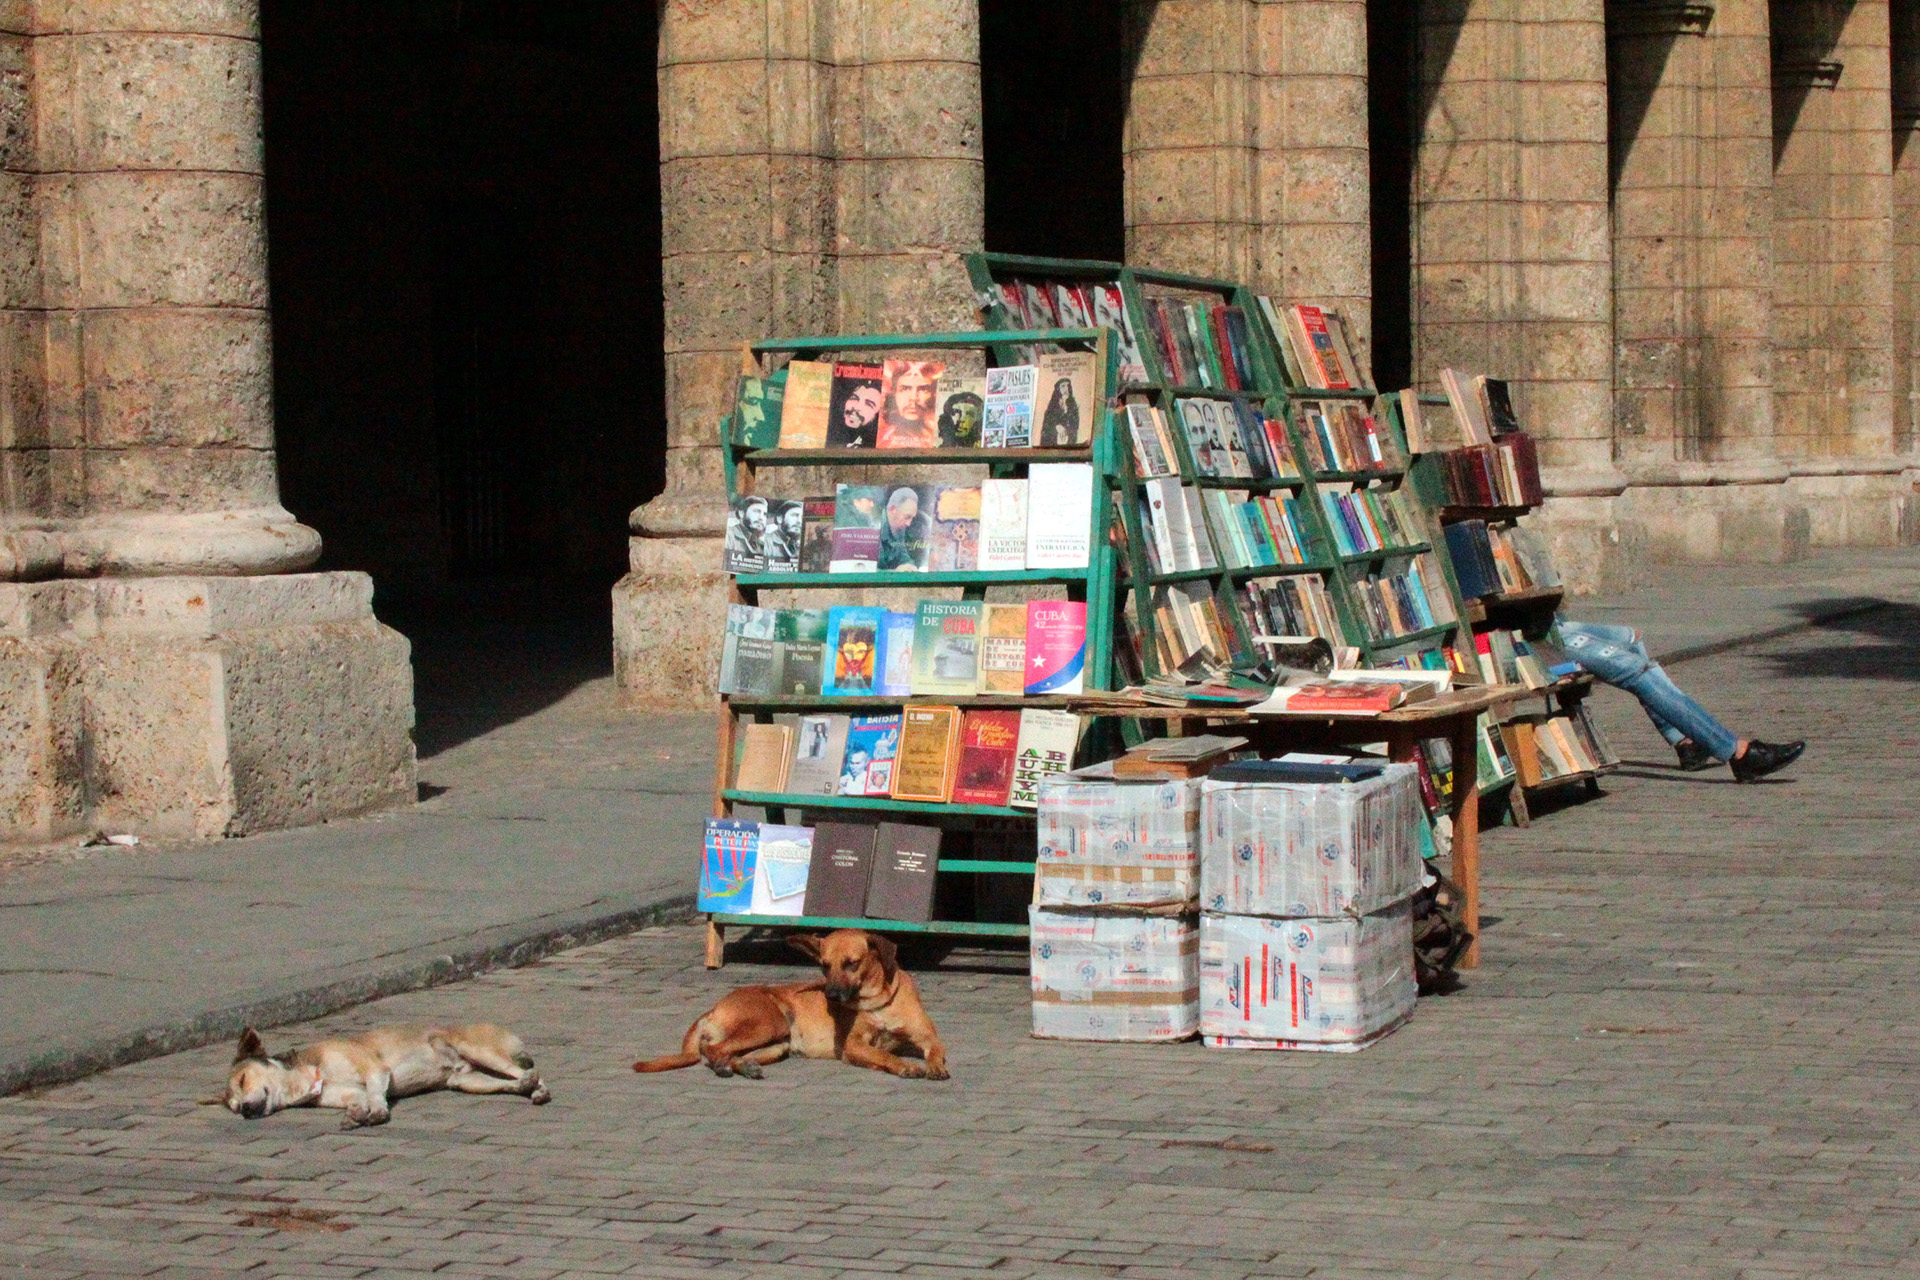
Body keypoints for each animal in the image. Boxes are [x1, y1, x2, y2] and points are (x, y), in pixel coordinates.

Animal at [229, 1028, 556, 1128]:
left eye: (243, 1080)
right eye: (232, 1106)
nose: (244, 1110)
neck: (311, 1074)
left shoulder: (376, 1070)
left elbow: (376, 1093)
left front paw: (377, 1112)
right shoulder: (347, 1093)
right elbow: (360, 1099)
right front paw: (356, 1115)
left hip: (478, 1050)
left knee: (528, 1071)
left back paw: (538, 1089)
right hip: (467, 1082)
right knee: (513, 1082)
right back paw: (526, 1088)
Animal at [637, 932, 952, 1082]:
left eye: (852, 963)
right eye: (824, 966)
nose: (831, 995)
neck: (878, 1002)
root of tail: (712, 1008)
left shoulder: (929, 1037)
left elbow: (936, 1050)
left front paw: (935, 1066)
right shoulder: (853, 1046)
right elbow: (884, 1055)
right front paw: (905, 1066)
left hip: (777, 1044)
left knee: (733, 1055)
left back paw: (743, 1067)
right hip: (770, 1022)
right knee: (712, 1050)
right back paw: (722, 1066)